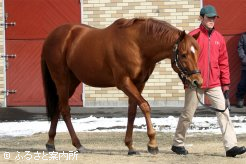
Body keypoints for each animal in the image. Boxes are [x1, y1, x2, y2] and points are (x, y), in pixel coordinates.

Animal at [40, 18, 202, 155]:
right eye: (183, 54)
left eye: (197, 53)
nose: (197, 81)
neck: (137, 45)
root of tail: (53, 37)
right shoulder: (124, 82)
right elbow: (145, 106)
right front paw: (152, 144)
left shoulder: (139, 84)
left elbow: (132, 112)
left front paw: (130, 146)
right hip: (61, 80)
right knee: (65, 110)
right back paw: (78, 144)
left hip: (72, 82)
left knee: (58, 107)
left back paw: (50, 142)